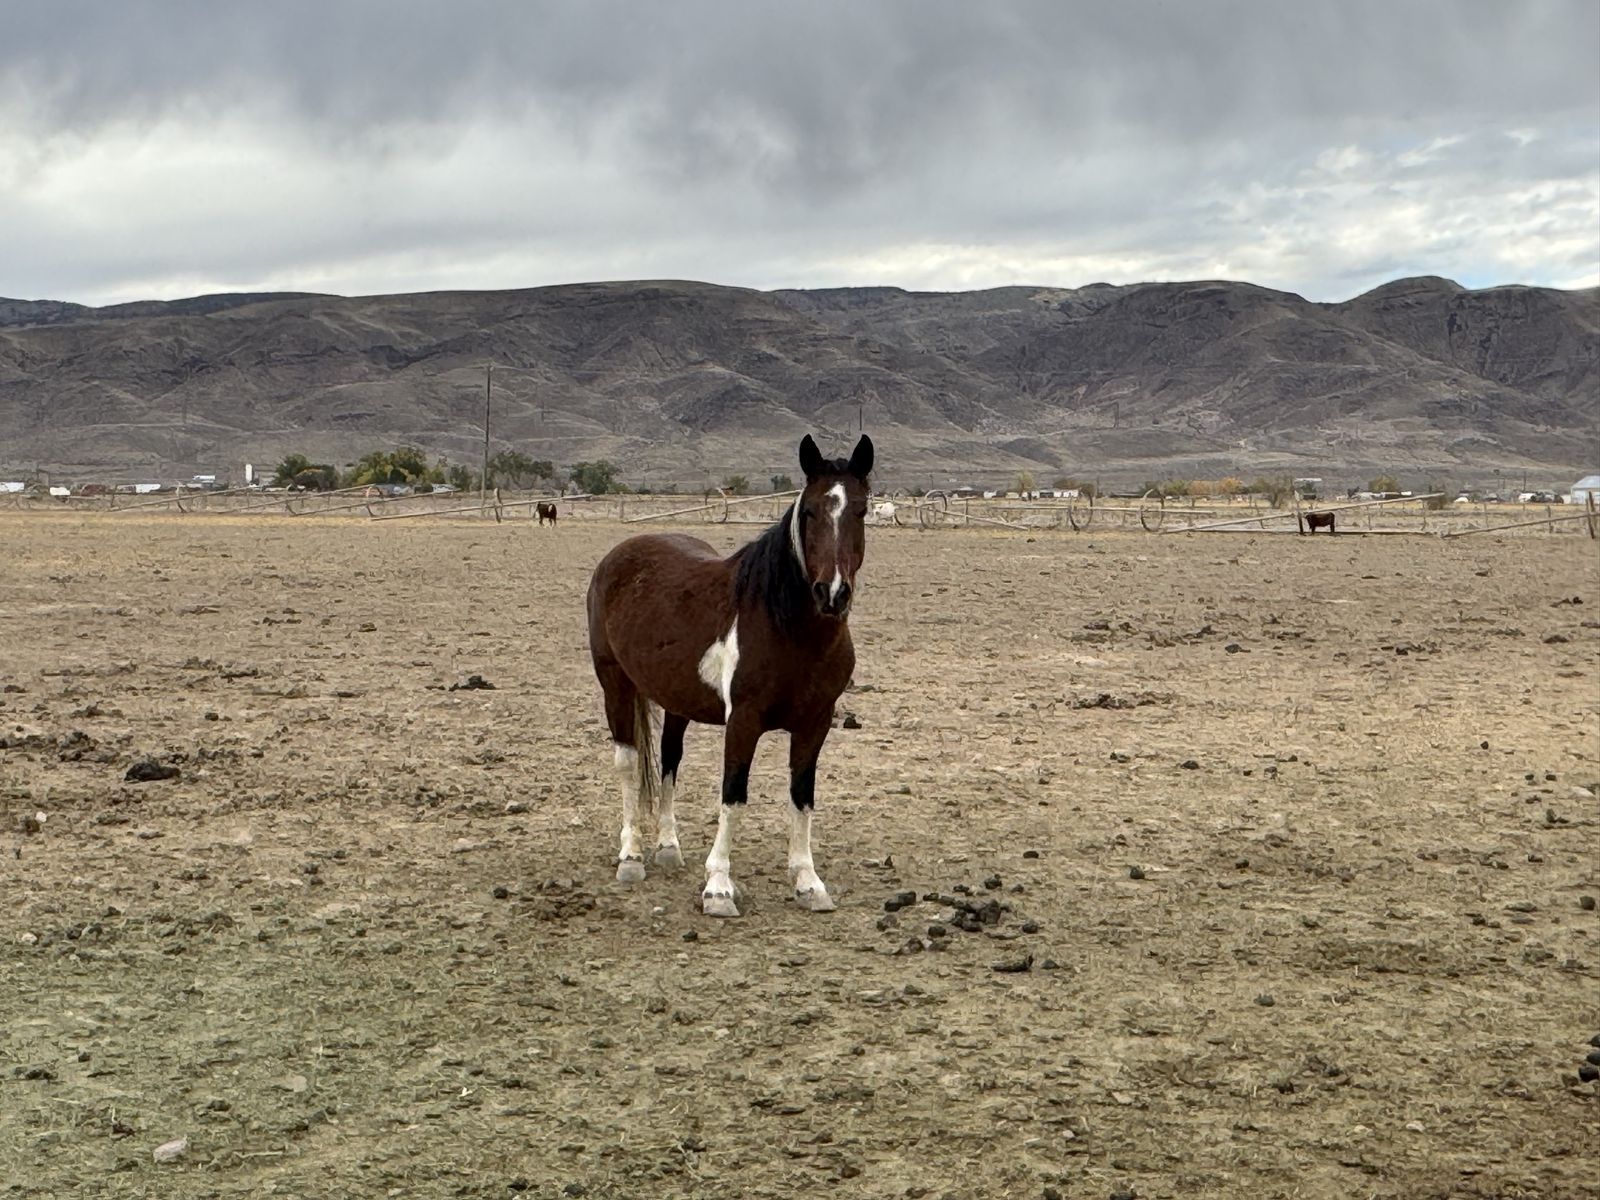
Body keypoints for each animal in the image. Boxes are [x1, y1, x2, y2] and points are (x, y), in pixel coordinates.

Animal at [586, 434, 873, 917]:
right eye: (810, 512)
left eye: (861, 511)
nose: (832, 594)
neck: (787, 628)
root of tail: (618, 557)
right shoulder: (743, 720)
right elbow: (733, 795)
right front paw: (718, 886)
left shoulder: (816, 723)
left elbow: (802, 797)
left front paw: (808, 882)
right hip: (615, 685)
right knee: (627, 764)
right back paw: (631, 856)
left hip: (676, 699)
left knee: (670, 761)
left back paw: (668, 848)